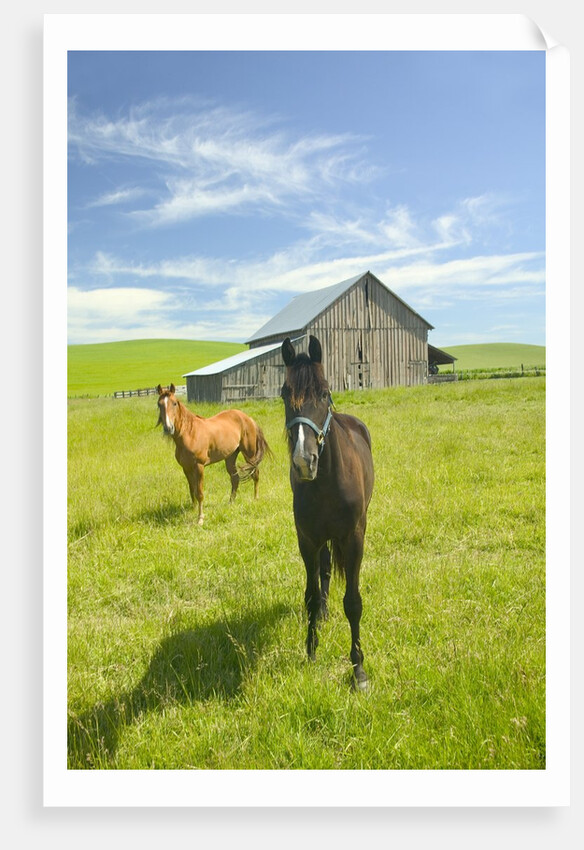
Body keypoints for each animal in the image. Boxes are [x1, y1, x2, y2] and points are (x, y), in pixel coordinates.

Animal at [156, 384, 271, 525]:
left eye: (174, 403)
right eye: (159, 404)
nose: (168, 428)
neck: (190, 434)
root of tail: (248, 418)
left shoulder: (199, 467)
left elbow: (199, 493)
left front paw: (200, 518)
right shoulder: (186, 468)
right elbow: (192, 490)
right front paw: (193, 509)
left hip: (249, 454)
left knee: (255, 474)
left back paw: (255, 498)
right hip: (230, 457)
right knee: (235, 479)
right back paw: (230, 502)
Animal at [281, 336, 374, 690]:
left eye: (323, 392)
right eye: (284, 394)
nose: (303, 461)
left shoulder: (354, 537)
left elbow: (353, 602)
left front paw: (358, 669)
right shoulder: (307, 540)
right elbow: (309, 594)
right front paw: (310, 650)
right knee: (323, 570)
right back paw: (322, 613)